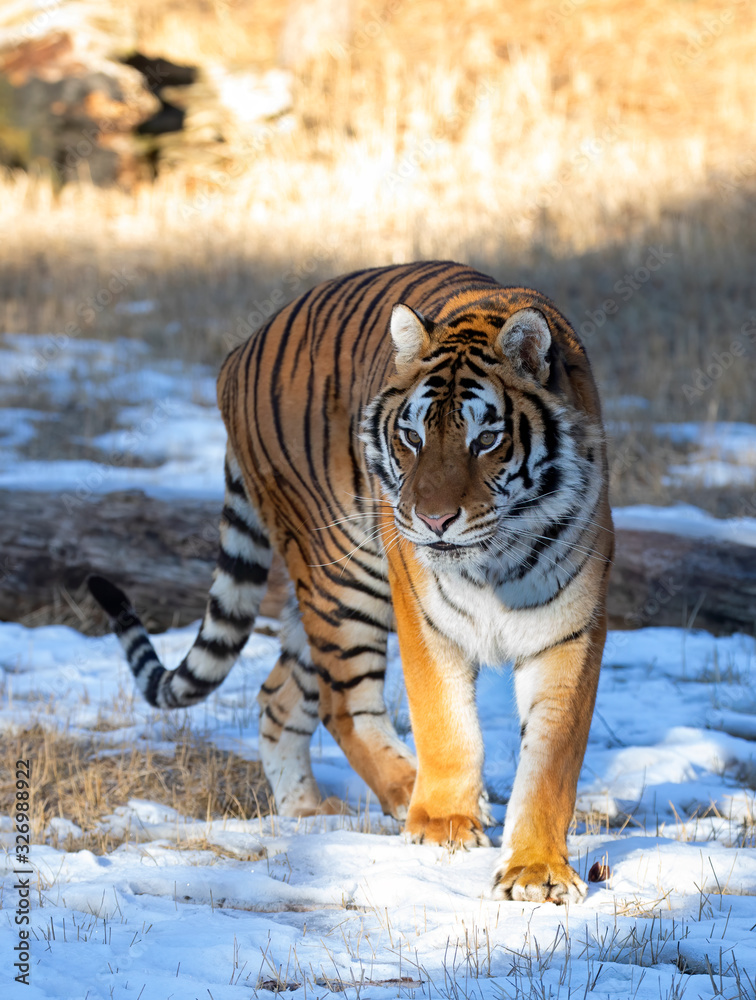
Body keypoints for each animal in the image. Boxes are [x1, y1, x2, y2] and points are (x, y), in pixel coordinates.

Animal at [91, 262, 616, 904]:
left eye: (486, 440)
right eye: (413, 438)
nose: (432, 521)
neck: (495, 556)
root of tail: (238, 351)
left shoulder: (569, 630)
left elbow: (550, 760)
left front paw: (536, 870)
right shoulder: (423, 615)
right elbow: (444, 722)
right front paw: (445, 825)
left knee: (278, 697)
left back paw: (309, 814)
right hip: (342, 578)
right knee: (343, 705)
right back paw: (414, 799)